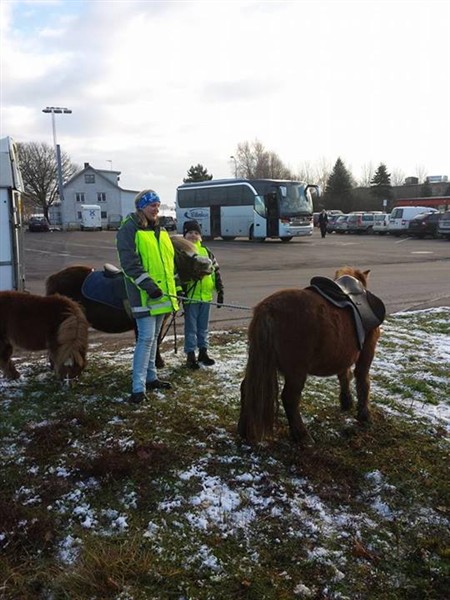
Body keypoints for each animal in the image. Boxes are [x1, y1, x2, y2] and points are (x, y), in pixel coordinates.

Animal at [239, 264, 386, 442]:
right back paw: (302, 435)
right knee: (289, 398)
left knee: (246, 389)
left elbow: (344, 376)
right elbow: (363, 380)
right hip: (296, 371)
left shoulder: (343, 355)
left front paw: (346, 402)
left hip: (260, 362)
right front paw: (364, 415)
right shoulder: (367, 351)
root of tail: (268, 308)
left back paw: (244, 430)